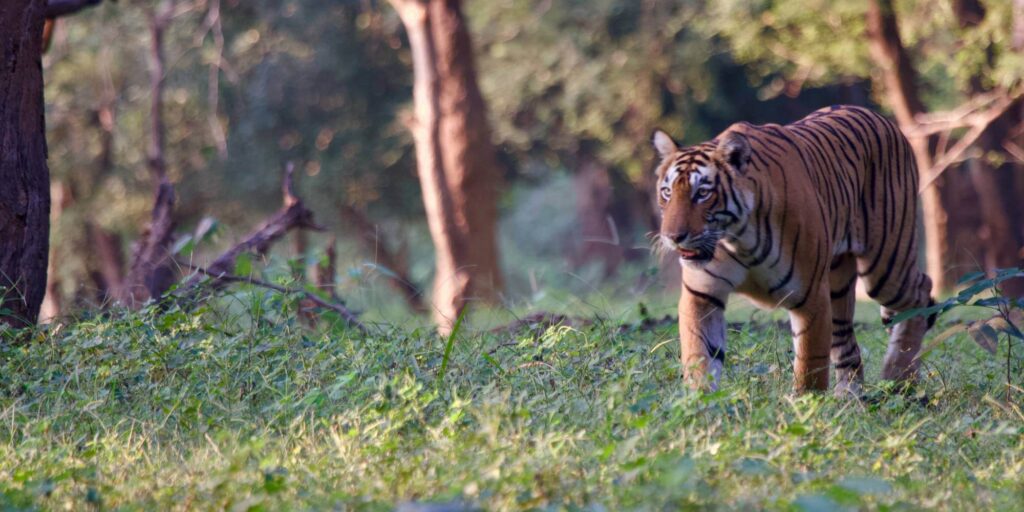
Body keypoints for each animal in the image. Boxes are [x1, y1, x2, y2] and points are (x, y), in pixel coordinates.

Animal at [655, 104, 937, 395]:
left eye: (702, 193)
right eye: (667, 192)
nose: (673, 237)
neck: (739, 237)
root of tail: (881, 118)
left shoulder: (810, 296)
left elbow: (810, 366)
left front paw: (805, 402)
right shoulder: (701, 295)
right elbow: (699, 356)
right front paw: (698, 400)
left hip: (884, 265)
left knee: (920, 290)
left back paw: (899, 378)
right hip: (838, 285)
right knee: (847, 344)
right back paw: (848, 397)